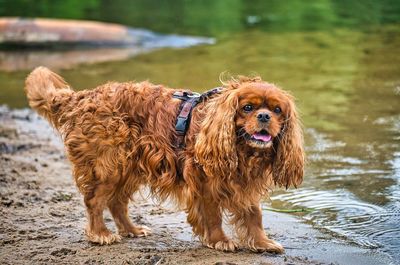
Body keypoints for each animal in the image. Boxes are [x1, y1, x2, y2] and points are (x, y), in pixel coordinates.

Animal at [25, 66, 304, 252]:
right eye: (247, 108)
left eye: (277, 110)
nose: (264, 116)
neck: (243, 150)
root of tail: (81, 98)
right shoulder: (204, 182)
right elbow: (213, 215)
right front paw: (220, 241)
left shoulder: (243, 182)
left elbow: (254, 214)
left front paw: (262, 242)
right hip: (108, 166)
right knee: (95, 200)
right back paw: (100, 234)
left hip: (129, 167)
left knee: (116, 202)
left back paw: (131, 230)